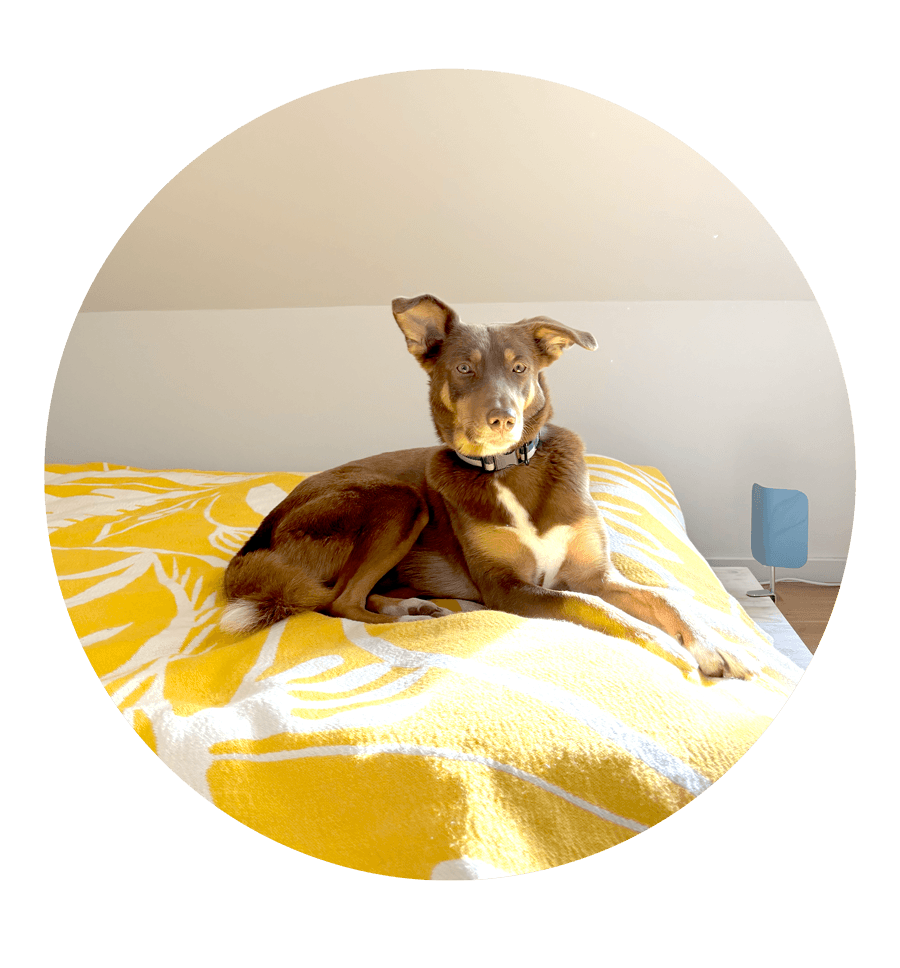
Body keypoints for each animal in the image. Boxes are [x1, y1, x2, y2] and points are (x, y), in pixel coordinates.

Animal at [221, 294, 760, 679]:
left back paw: (413, 604)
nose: (502, 419)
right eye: (464, 368)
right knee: (338, 601)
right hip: (399, 499)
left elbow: (664, 600)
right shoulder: (508, 589)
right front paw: (668, 648)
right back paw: (412, 619)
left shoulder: (596, 574)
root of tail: (253, 547)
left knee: (354, 594)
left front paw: (714, 650)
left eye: (520, 367)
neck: (508, 470)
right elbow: (595, 608)